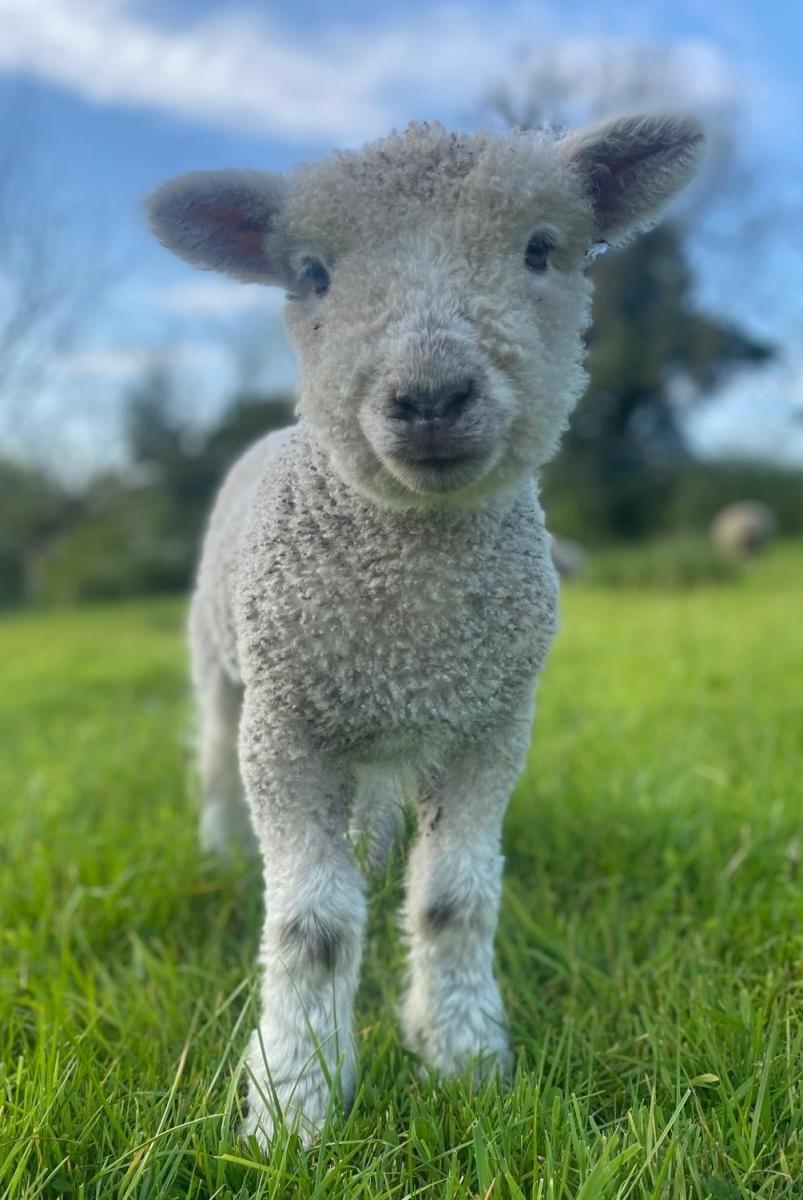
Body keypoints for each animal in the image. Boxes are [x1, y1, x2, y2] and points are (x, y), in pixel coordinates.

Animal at [148, 115, 703, 1148]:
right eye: (312, 275)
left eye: (540, 249)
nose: (431, 396)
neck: (414, 611)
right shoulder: (286, 727)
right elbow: (312, 928)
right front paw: (293, 1104)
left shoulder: (491, 724)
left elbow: (453, 901)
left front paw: (465, 1059)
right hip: (224, 669)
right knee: (209, 759)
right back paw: (218, 848)